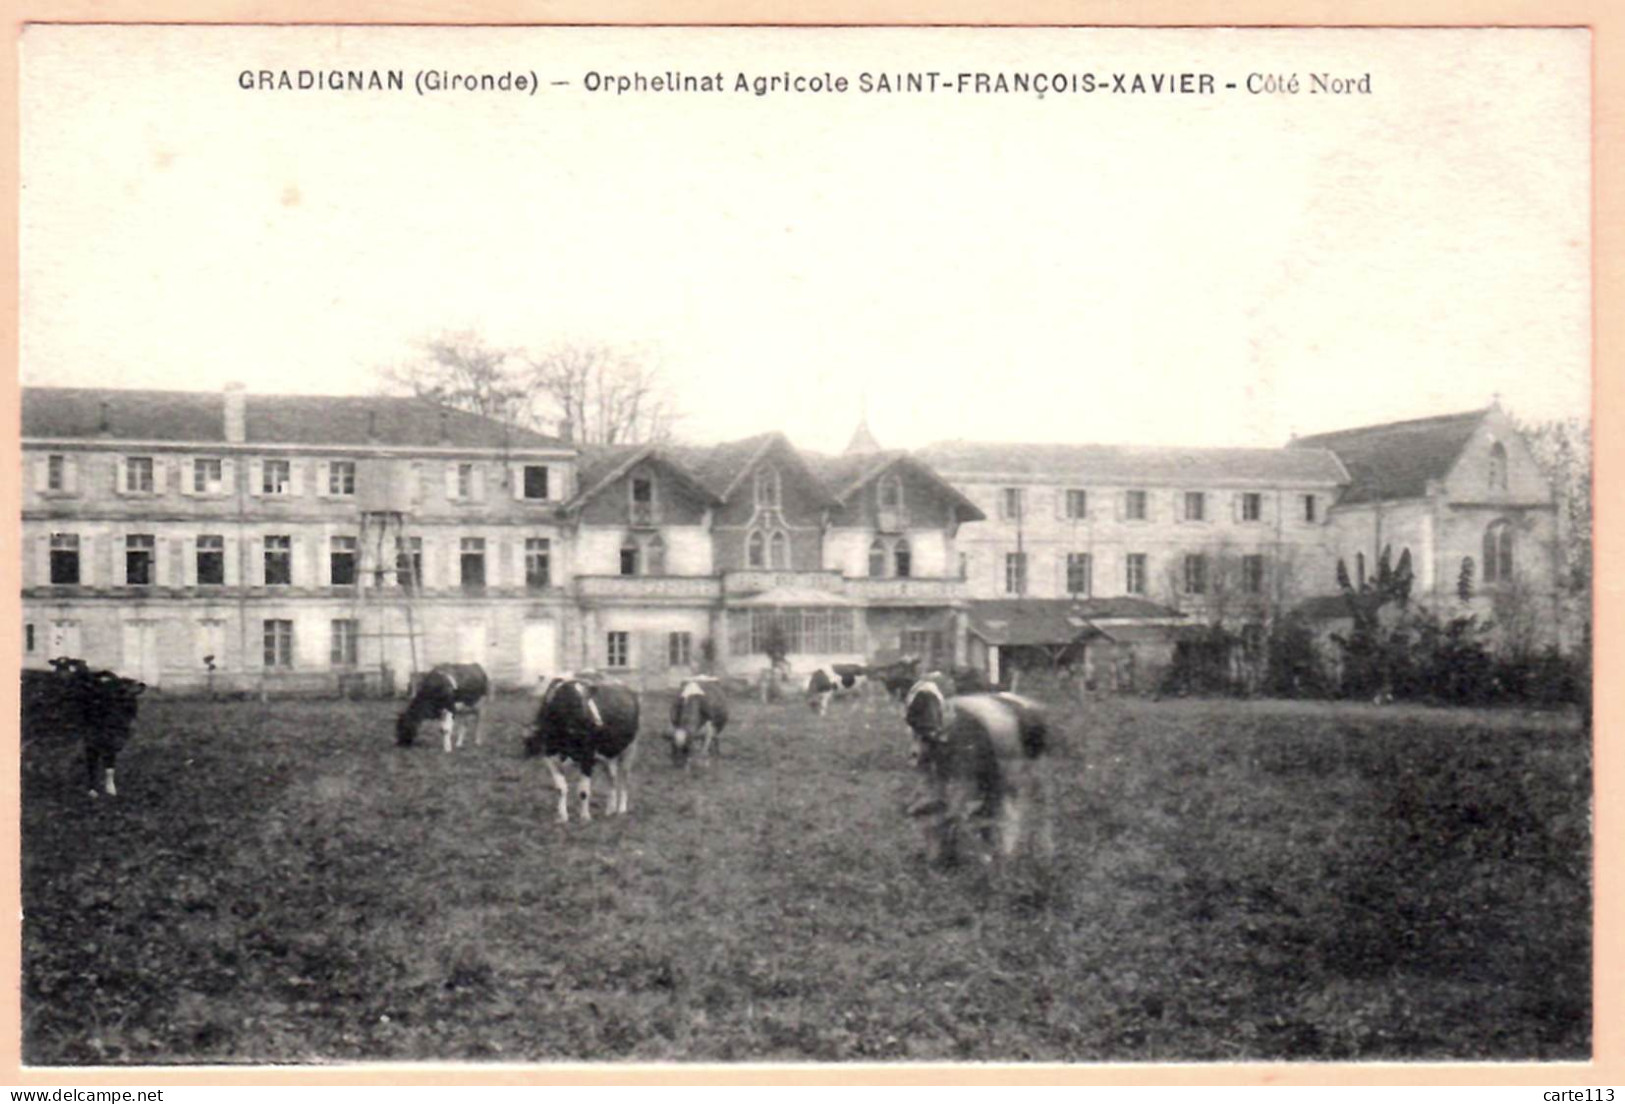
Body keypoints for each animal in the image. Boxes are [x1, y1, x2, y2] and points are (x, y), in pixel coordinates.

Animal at [22, 660, 146, 799]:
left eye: (129, 692)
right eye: (121, 685)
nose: (140, 684)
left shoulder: (114, 742)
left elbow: (110, 768)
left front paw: (111, 791)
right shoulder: (90, 740)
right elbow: (92, 765)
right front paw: (92, 791)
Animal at [526, 679, 640, 825]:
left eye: (588, 698)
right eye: (575, 701)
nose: (598, 723)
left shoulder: (588, 758)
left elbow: (584, 791)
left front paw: (585, 817)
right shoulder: (550, 758)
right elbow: (560, 788)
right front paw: (562, 817)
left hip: (630, 749)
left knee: (624, 778)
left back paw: (621, 810)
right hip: (608, 756)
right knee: (612, 778)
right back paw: (610, 810)